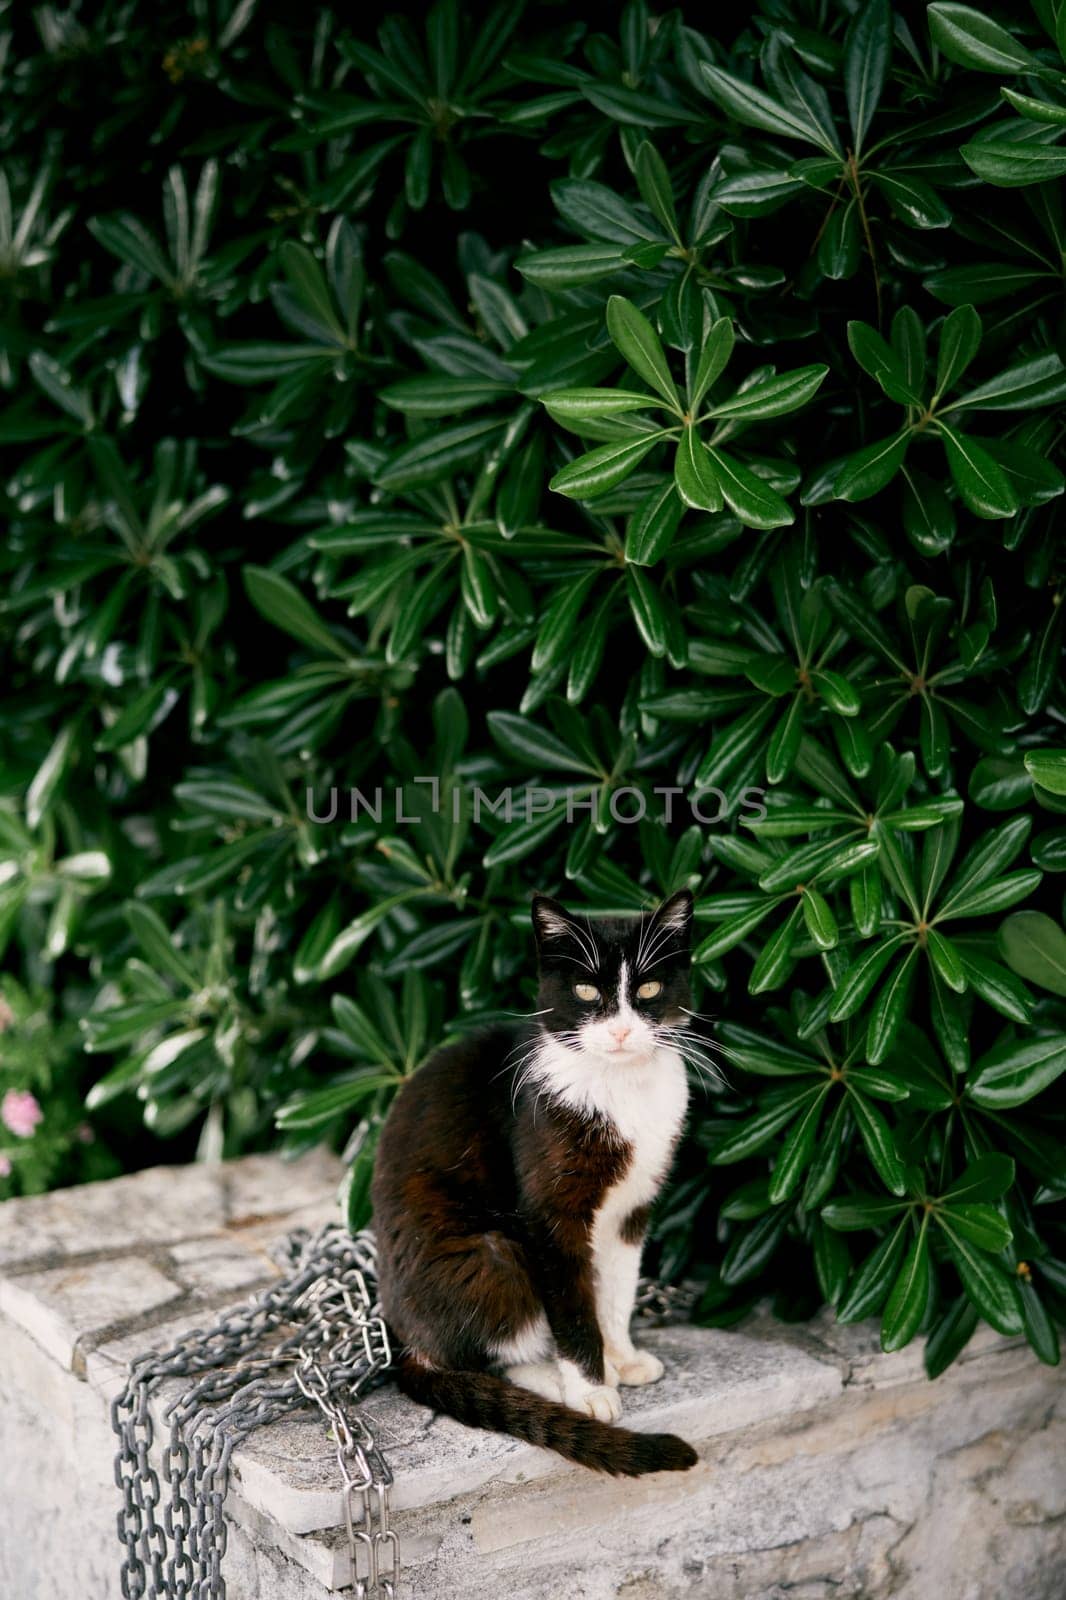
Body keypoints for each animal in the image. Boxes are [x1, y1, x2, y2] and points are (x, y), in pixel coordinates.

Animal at [368, 889, 697, 1472]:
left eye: (649, 988)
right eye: (586, 990)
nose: (620, 1031)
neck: (621, 1088)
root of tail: (404, 1341)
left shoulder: (631, 1209)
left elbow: (616, 1291)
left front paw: (622, 1356)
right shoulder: (549, 1213)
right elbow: (571, 1304)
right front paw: (591, 1388)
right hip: (490, 1257)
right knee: (482, 1354)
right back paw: (551, 1380)